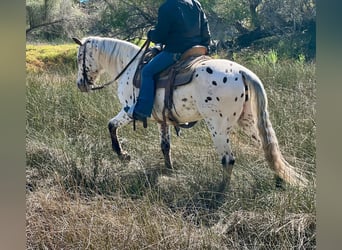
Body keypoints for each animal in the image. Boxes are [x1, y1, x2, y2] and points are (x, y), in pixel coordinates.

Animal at [72, 36, 308, 189]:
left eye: (79, 57)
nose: (80, 85)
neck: (130, 66)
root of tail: (242, 72)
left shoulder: (129, 110)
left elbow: (111, 125)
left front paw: (123, 155)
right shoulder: (163, 120)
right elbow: (165, 146)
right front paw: (169, 170)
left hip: (218, 127)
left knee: (228, 159)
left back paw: (220, 192)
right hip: (249, 122)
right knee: (268, 149)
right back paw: (281, 179)